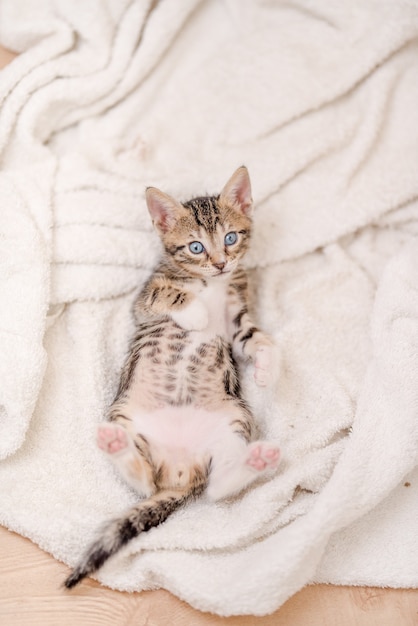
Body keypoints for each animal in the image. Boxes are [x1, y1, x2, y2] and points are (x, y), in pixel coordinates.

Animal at [64, 165, 280, 584]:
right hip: (126, 413)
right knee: (144, 481)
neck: (213, 283)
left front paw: (269, 366)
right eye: (195, 247)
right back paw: (117, 446)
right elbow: (169, 294)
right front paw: (195, 312)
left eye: (230, 238)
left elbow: (255, 338)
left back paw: (254, 462)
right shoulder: (144, 299)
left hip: (234, 420)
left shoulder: (237, 317)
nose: (220, 263)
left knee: (215, 488)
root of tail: (179, 472)